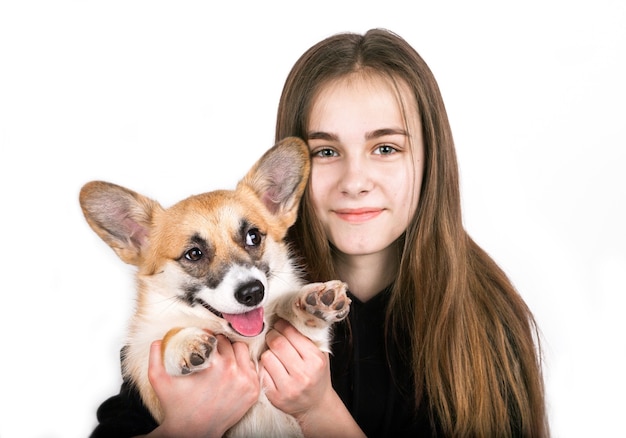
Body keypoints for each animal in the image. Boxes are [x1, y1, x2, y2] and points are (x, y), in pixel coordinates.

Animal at [78, 138, 348, 438]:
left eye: (253, 237)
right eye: (194, 254)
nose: (253, 293)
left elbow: (300, 319)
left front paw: (312, 304)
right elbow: (168, 337)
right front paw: (184, 342)